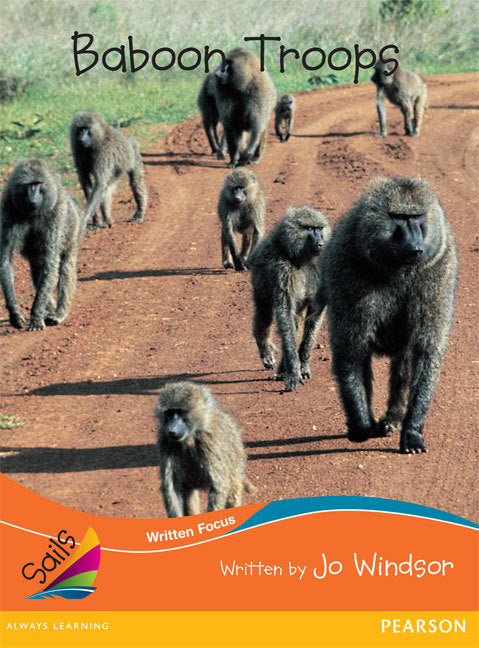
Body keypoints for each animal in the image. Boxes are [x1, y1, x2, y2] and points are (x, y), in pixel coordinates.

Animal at [0, 158, 83, 331]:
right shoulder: (8, 208)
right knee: (38, 269)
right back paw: (49, 309)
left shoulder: (57, 214)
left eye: (38, 183)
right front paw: (15, 313)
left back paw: (58, 314)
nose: (33, 196)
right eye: (27, 185)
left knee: (65, 266)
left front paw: (37, 316)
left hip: (75, 228)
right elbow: (6, 260)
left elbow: (51, 262)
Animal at [155, 382, 254, 517]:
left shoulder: (209, 442)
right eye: (169, 414)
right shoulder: (165, 442)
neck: (190, 439)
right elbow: (170, 487)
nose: (172, 430)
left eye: (180, 412)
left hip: (236, 467)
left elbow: (219, 485)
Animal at [248, 206, 331, 392]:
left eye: (319, 228)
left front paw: (303, 365)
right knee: (265, 314)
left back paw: (282, 370)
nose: (320, 242)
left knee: (297, 321)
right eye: (309, 228)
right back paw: (266, 353)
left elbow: (316, 312)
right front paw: (294, 372)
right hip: (259, 281)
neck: (302, 257)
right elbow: (285, 313)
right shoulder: (283, 268)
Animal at [315, 176, 458, 454]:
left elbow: (426, 351)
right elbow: (351, 349)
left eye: (417, 217)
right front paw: (361, 425)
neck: (397, 268)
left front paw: (412, 433)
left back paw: (393, 417)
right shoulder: (347, 269)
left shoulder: (438, 270)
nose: (416, 247)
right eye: (399, 217)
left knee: (405, 360)